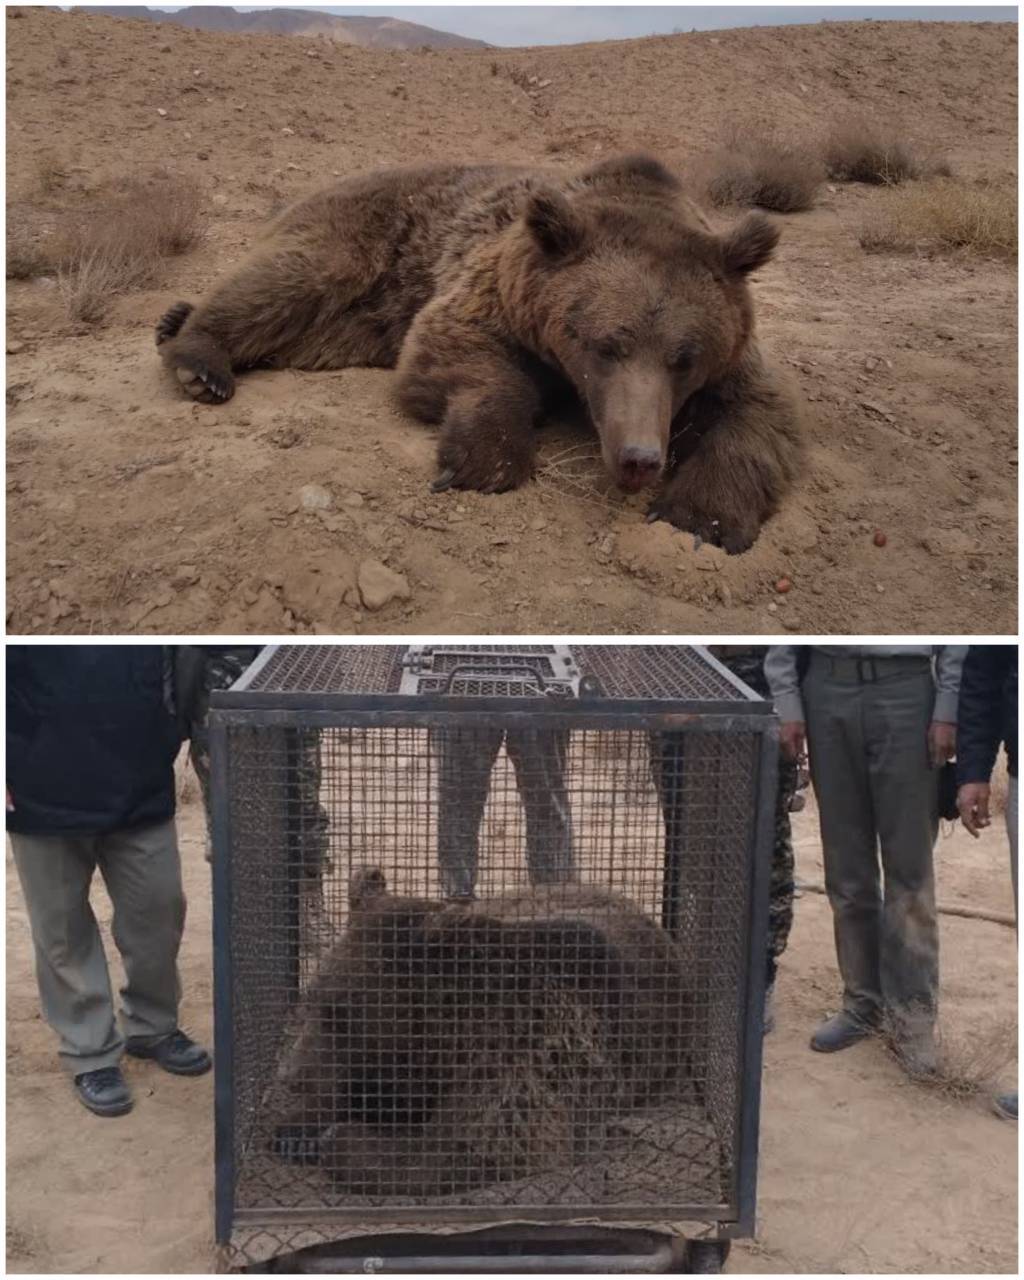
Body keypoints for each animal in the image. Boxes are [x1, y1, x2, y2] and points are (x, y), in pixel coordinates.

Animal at [158, 153, 798, 550]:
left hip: (356, 324)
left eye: (685, 358)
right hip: (363, 235)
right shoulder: (494, 288)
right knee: (291, 276)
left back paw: (174, 324)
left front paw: (700, 515)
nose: (638, 457)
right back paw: (199, 360)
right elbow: (455, 349)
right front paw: (481, 459)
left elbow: (760, 415)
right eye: (605, 346)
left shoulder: (735, 359)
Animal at [271, 870, 691, 1198]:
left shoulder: (523, 1058)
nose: (290, 1077)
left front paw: (338, 1139)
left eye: (339, 1015)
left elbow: (477, 1150)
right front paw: (298, 1127)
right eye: (314, 1001)